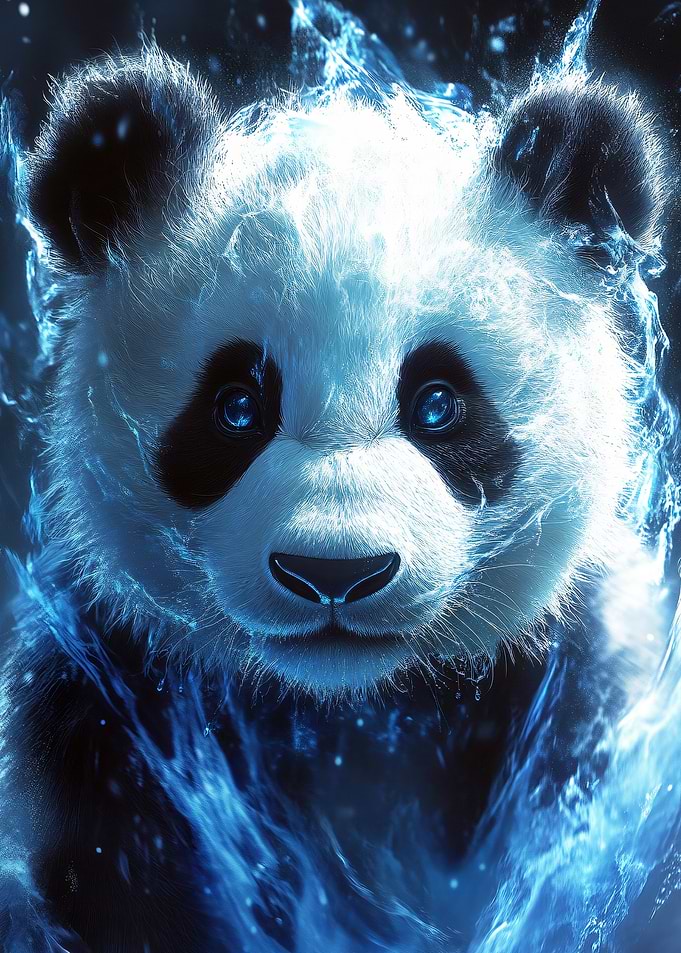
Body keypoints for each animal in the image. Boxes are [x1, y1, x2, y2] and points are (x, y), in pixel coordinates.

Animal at [0, 44, 665, 953]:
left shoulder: (575, 683)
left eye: (437, 404)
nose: (334, 573)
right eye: (236, 406)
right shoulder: (104, 698)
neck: (351, 708)